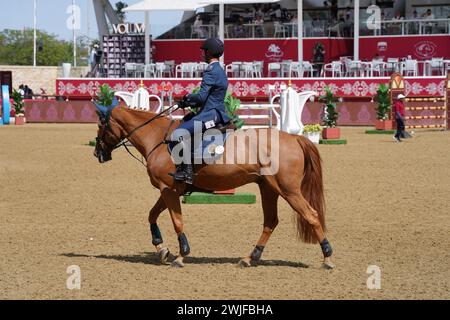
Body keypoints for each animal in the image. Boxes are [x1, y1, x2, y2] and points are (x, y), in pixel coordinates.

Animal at [94, 104, 334, 268]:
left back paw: (327, 257)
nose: (97, 153)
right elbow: (152, 215)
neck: (158, 138)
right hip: (268, 189)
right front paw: (162, 248)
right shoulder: (169, 190)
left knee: (311, 215)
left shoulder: (169, 190)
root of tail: (294, 139)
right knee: (270, 222)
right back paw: (250, 258)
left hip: (288, 191)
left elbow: (177, 221)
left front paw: (181, 255)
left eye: (101, 125)